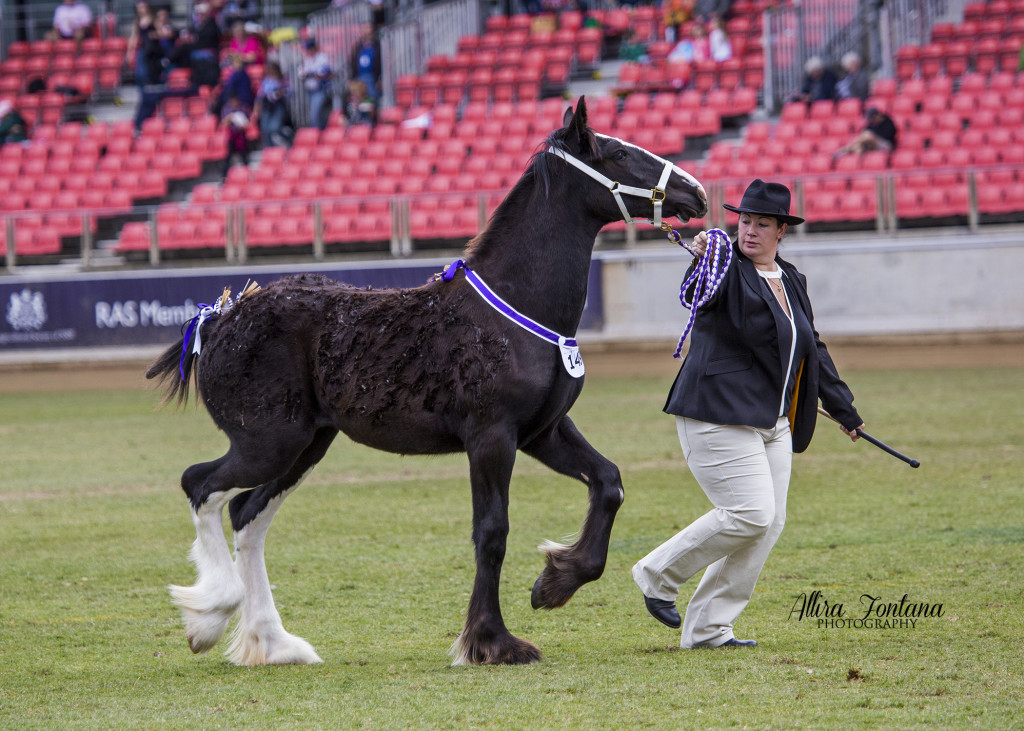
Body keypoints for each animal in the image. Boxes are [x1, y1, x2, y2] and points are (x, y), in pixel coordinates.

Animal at [148, 98, 708, 667]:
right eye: (618, 154)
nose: (696, 192)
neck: (512, 310)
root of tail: (220, 318)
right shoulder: (491, 438)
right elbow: (492, 533)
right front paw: (492, 641)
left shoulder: (542, 432)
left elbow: (608, 482)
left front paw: (554, 581)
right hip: (268, 444)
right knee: (201, 486)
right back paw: (212, 614)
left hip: (306, 446)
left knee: (247, 513)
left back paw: (275, 641)